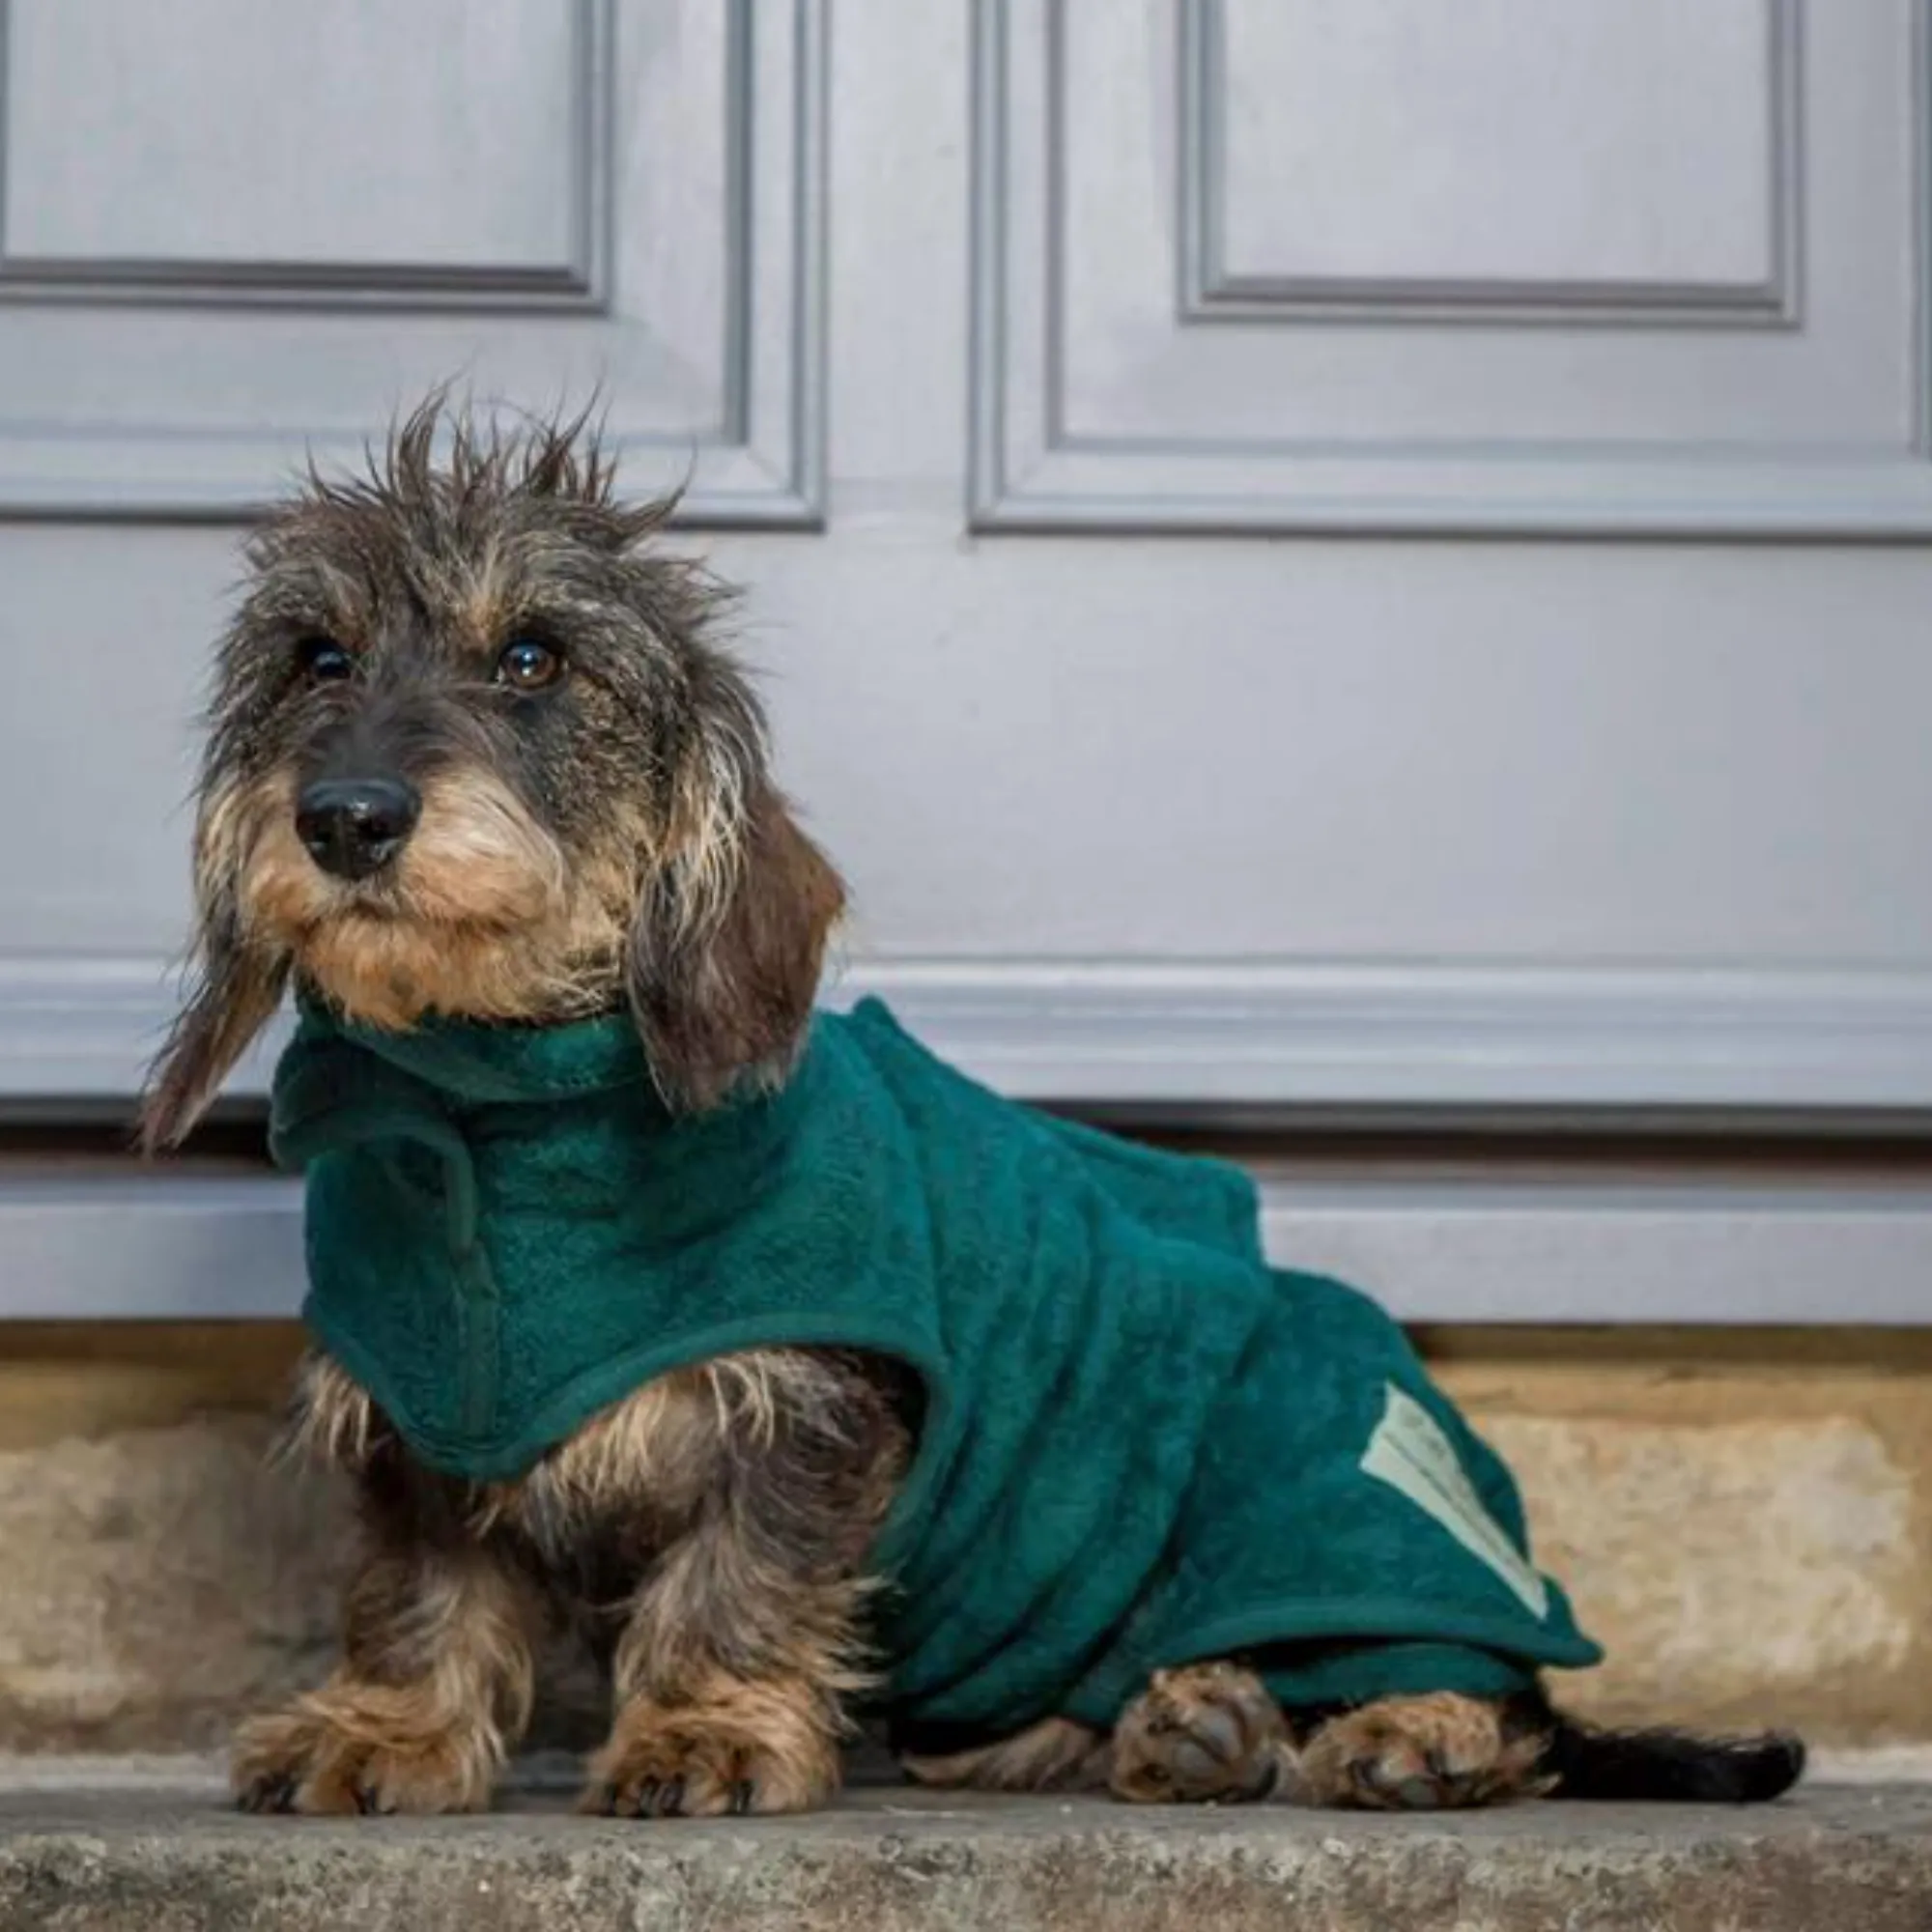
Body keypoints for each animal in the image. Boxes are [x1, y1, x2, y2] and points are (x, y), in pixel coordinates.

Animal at [143, 400, 1801, 1816]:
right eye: (319, 660)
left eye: (537, 659)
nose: (347, 818)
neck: (498, 1128)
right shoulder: (414, 1422)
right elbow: (418, 1593)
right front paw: (385, 1733)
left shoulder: (812, 1407)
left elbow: (736, 1583)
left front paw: (704, 1732)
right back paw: (1187, 1727)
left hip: (1313, 1479)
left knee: (1503, 1702)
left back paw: (1408, 1732)